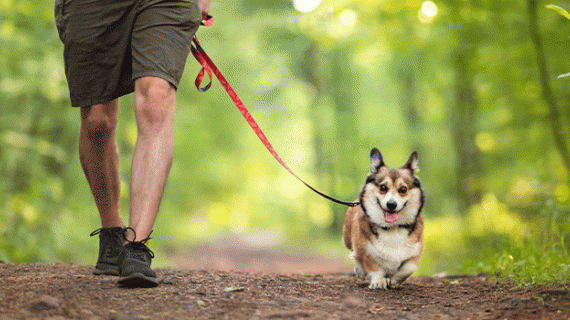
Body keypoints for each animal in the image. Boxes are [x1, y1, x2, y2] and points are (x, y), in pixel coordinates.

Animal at [342, 149, 422, 288]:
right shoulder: (365, 249)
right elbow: (372, 265)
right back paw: (360, 271)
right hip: (347, 238)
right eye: (383, 187)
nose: (391, 204)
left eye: (403, 189)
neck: (392, 227)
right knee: (354, 253)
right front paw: (378, 282)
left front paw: (394, 281)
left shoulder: (416, 250)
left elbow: (408, 268)